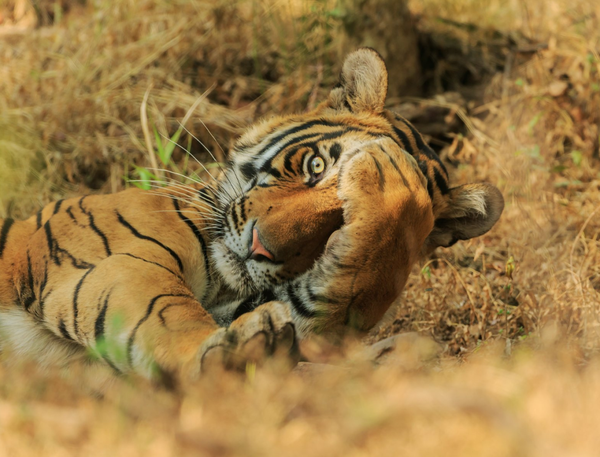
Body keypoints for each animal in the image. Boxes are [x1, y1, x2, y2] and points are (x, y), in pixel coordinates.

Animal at [0, 48, 502, 382]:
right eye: (315, 166)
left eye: (341, 225)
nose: (261, 247)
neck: (225, 282)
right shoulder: (116, 260)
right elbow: (164, 310)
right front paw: (230, 350)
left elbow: (344, 290)